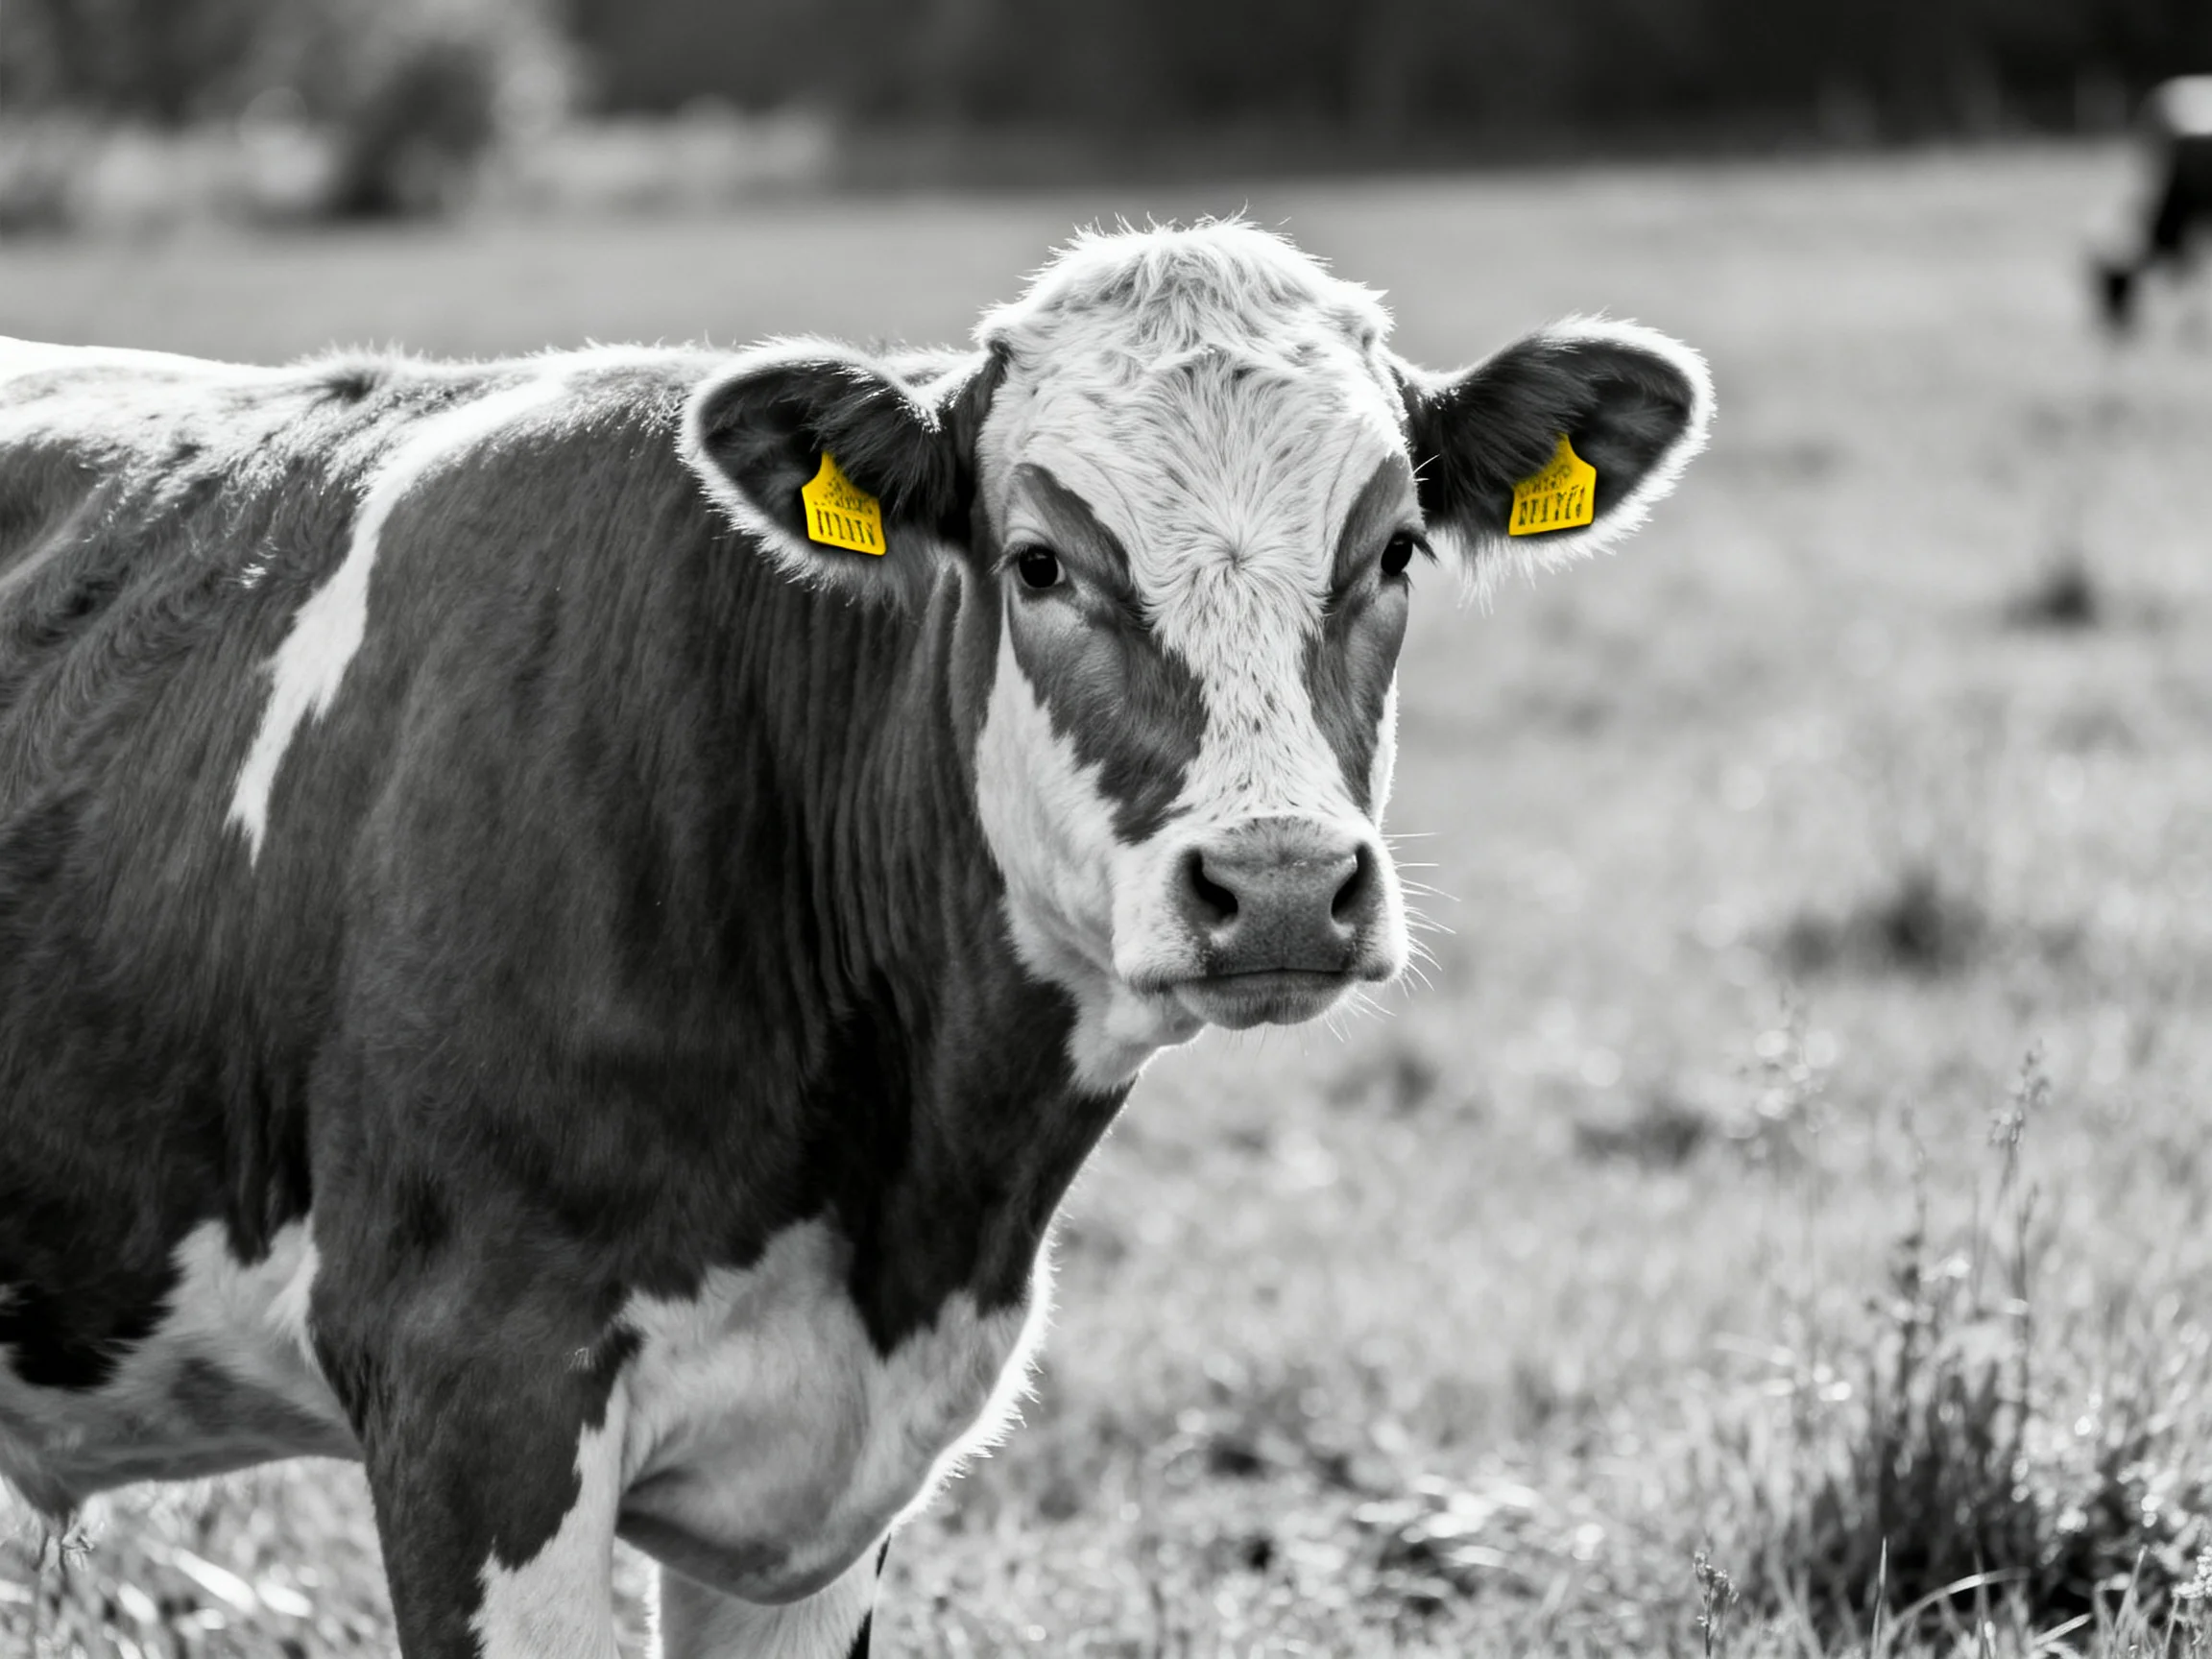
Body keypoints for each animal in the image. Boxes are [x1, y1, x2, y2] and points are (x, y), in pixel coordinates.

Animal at [0, 221, 1711, 1657]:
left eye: (1397, 550)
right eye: (1039, 563)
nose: (1283, 881)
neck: (906, 1203)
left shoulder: (817, 1494)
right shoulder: (465, 1389)